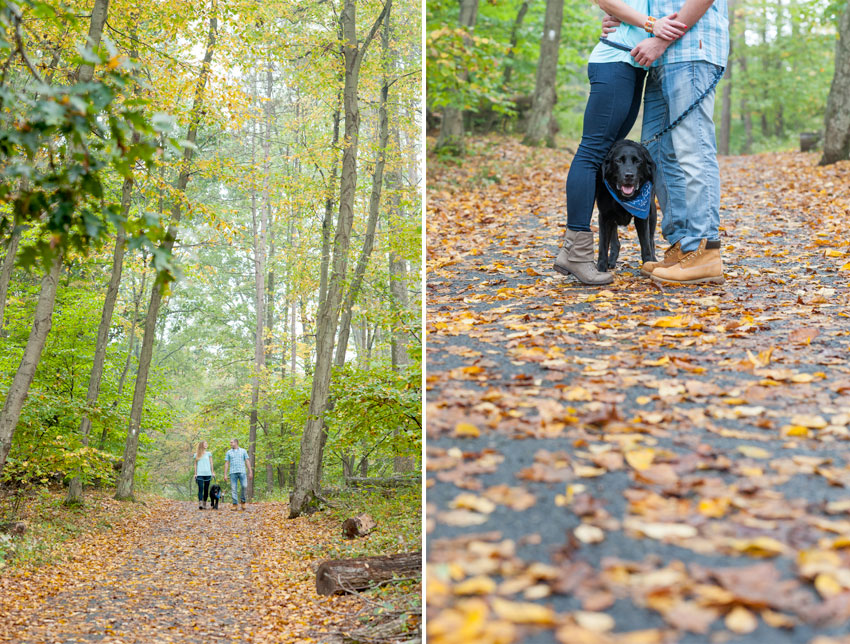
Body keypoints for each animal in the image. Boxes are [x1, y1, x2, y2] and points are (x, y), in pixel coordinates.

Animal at [596, 138, 656, 272]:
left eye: (638, 161)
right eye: (618, 161)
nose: (629, 175)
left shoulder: (642, 217)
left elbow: (646, 245)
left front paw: (648, 265)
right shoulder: (604, 216)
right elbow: (603, 246)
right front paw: (601, 269)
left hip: (652, 212)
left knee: (651, 240)